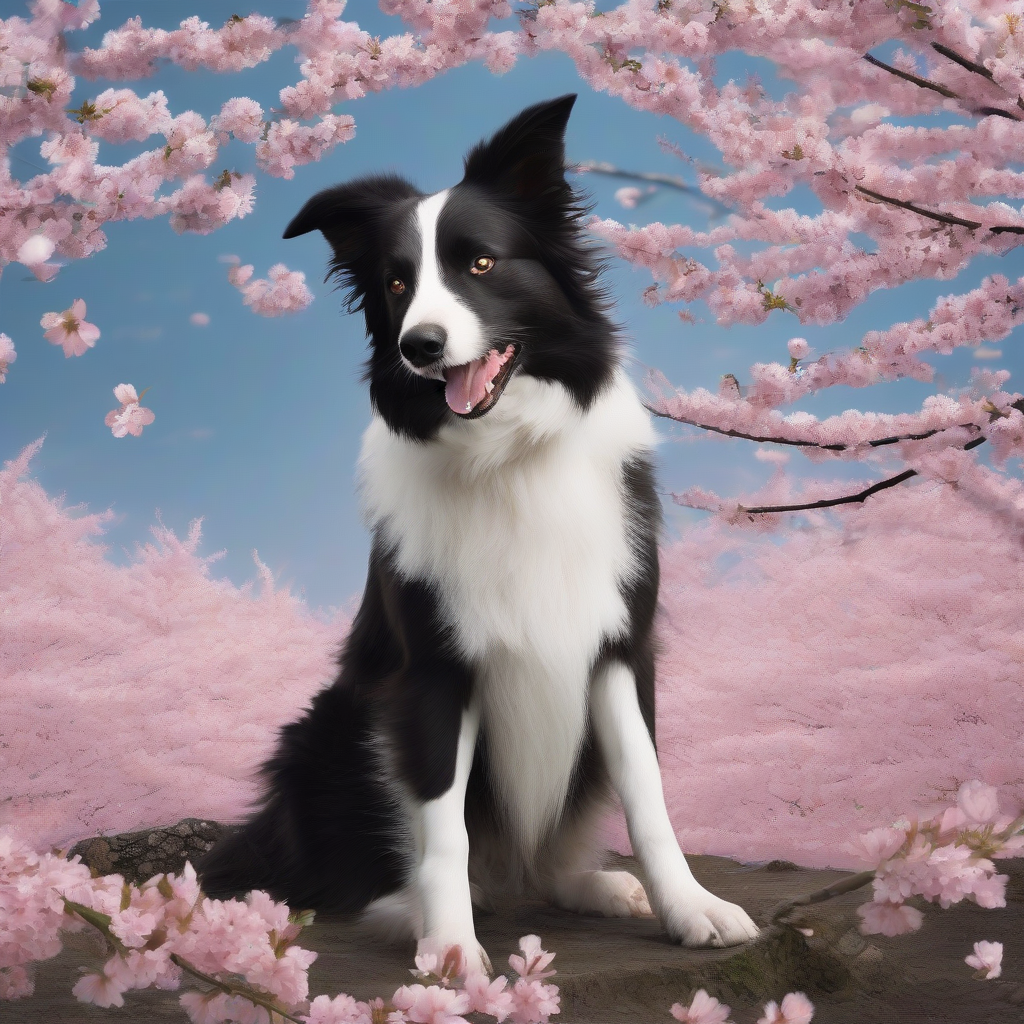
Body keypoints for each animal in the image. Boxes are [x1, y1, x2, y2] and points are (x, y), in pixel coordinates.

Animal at [201, 94, 761, 966]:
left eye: (483, 265)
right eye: (397, 282)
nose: (419, 346)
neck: (508, 453)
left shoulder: (618, 646)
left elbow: (648, 795)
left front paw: (690, 906)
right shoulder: (433, 668)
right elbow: (442, 827)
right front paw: (453, 950)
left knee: (543, 866)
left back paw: (598, 886)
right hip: (331, 729)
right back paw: (409, 911)